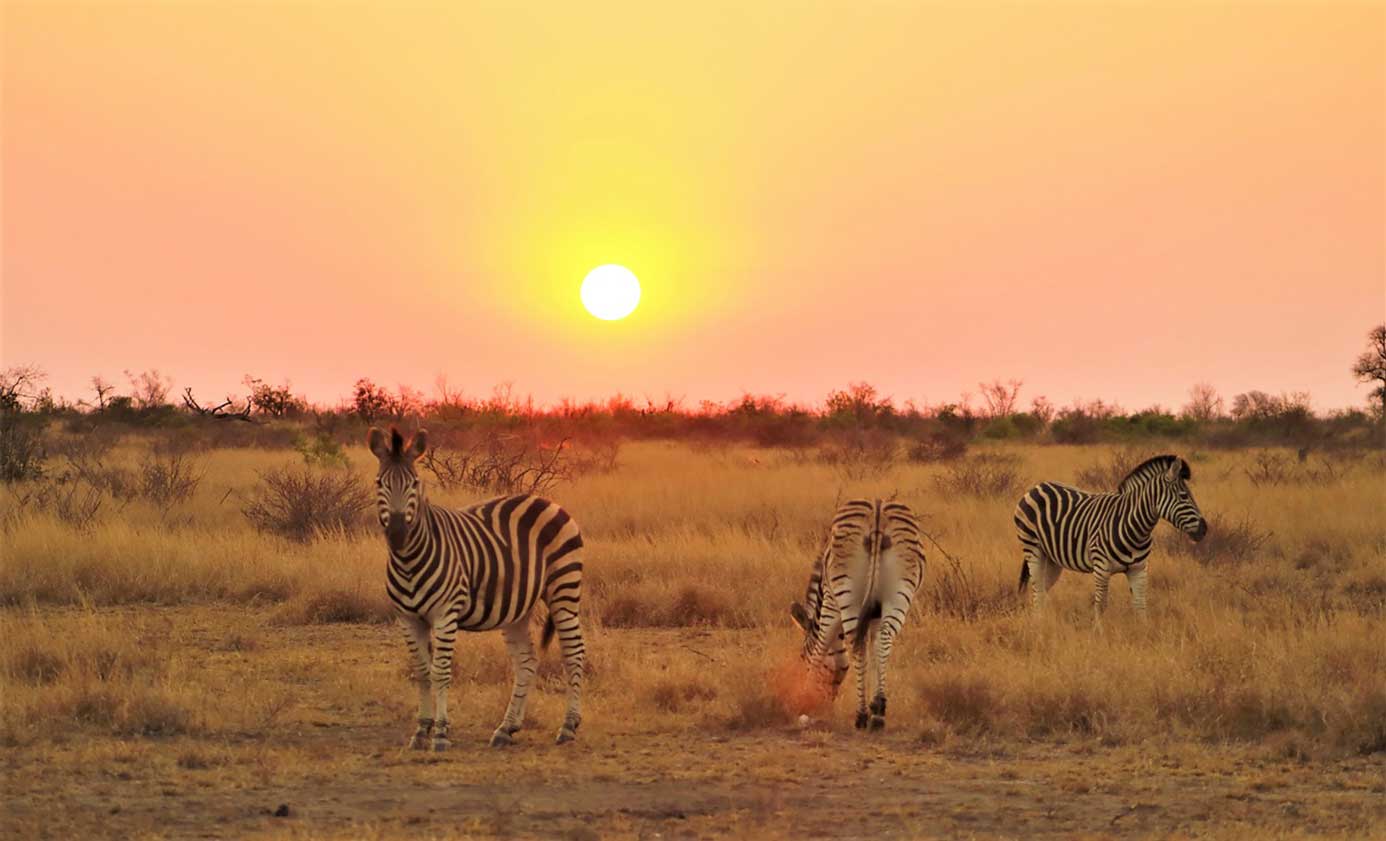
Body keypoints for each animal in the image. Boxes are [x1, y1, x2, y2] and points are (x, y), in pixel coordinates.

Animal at [368, 426, 585, 750]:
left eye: (414, 483)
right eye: (380, 482)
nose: (397, 534)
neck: (408, 560)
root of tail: (547, 500)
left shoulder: (445, 615)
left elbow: (441, 672)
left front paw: (441, 733)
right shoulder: (407, 619)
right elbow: (421, 672)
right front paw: (421, 730)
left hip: (564, 590)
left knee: (574, 653)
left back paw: (568, 727)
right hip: (517, 609)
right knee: (526, 662)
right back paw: (506, 728)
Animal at [789, 499, 926, 731]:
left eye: (801, 657)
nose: (826, 704)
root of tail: (878, 513)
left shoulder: (830, 602)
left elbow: (820, 648)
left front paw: (804, 703)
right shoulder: (874, 614)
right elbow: (874, 652)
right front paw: (873, 703)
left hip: (848, 592)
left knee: (856, 642)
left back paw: (861, 715)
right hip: (900, 592)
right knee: (884, 638)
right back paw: (879, 711)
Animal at [1014, 454, 1208, 620]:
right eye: (1184, 496)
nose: (1204, 529)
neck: (1136, 528)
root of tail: (1038, 487)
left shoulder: (1139, 569)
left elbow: (1140, 605)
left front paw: (1143, 633)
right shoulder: (1101, 567)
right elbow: (1101, 605)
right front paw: (1098, 634)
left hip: (1053, 558)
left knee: (1043, 589)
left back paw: (1045, 622)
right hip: (1033, 548)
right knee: (1037, 590)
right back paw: (1039, 625)